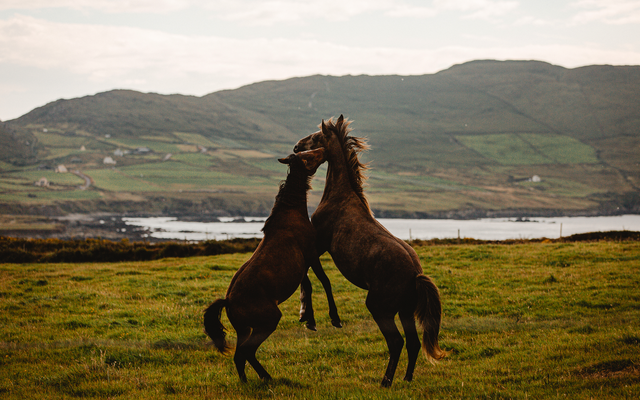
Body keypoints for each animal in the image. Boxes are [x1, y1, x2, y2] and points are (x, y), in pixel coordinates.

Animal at [203, 148, 341, 382]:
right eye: (308, 155)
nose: (324, 150)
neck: (292, 212)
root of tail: (228, 301)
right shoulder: (311, 253)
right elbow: (325, 281)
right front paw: (334, 318)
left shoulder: (302, 264)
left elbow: (308, 286)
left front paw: (309, 319)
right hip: (268, 321)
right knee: (247, 351)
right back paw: (266, 378)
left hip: (244, 329)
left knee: (240, 355)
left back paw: (247, 381)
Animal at [294, 115, 447, 387]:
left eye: (315, 136)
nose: (296, 147)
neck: (340, 196)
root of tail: (415, 274)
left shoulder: (318, 245)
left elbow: (317, 278)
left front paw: (312, 317)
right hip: (405, 311)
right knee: (413, 343)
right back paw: (406, 379)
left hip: (379, 308)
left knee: (396, 342)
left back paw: (386, 381)